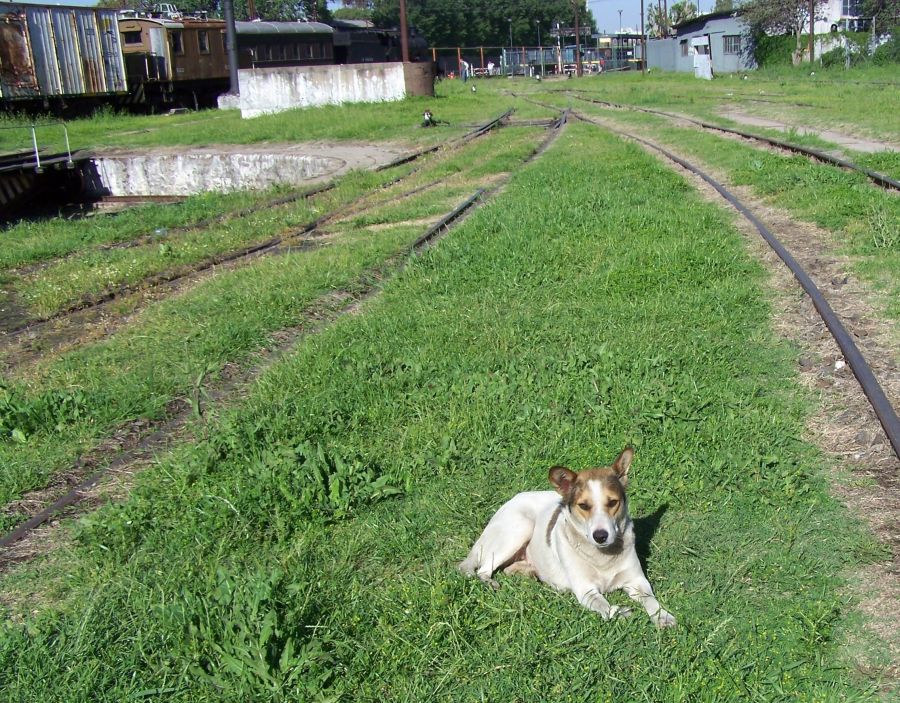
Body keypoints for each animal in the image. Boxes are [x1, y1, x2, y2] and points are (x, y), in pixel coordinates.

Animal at [458, 448, 676, 628]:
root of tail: (512, 499)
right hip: (520, 527)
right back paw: (491, 583)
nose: (600, 536)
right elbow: (604, 605)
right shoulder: (586, 590)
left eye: (613, 502)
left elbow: (651, 599)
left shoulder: (637, 581)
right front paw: (619, 611)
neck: (602, 556)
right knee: (483, 569)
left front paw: (662, 616)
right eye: (584, 506)